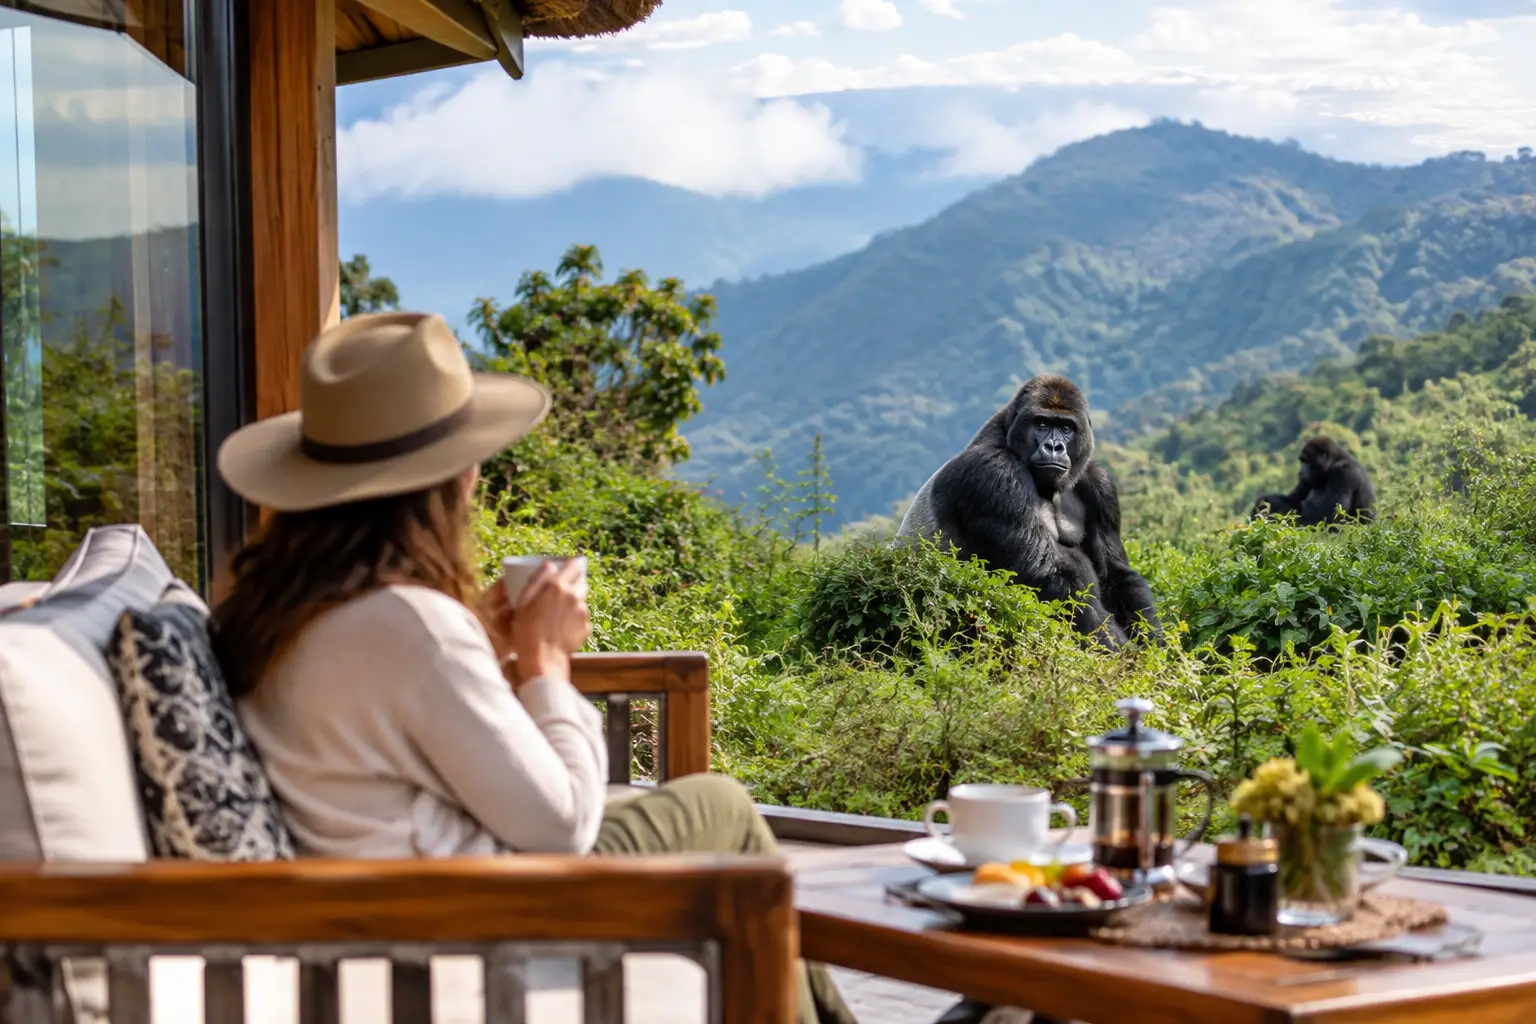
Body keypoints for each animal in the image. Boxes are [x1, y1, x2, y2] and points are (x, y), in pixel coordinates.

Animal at [897, 374, 1160, 648]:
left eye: (1066, 428)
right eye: (1042, 424)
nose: (1054, 446)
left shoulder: (1100, 483)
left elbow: (1116, 574)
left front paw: (1159, 644)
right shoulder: (995, 471)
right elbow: (1052, 580)